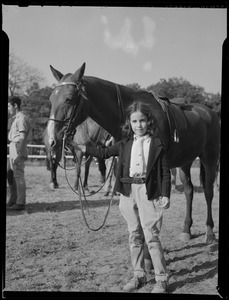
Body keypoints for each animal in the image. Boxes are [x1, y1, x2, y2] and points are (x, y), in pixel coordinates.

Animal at [46, 63, 220, 244]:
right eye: (51, 99)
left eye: (69, 98)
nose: (52, 139)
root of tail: (210, 113)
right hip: (185, 162)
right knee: (189, 191)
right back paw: (186, 230)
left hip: (210, 158)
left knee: (208, 191)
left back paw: (210, 233)